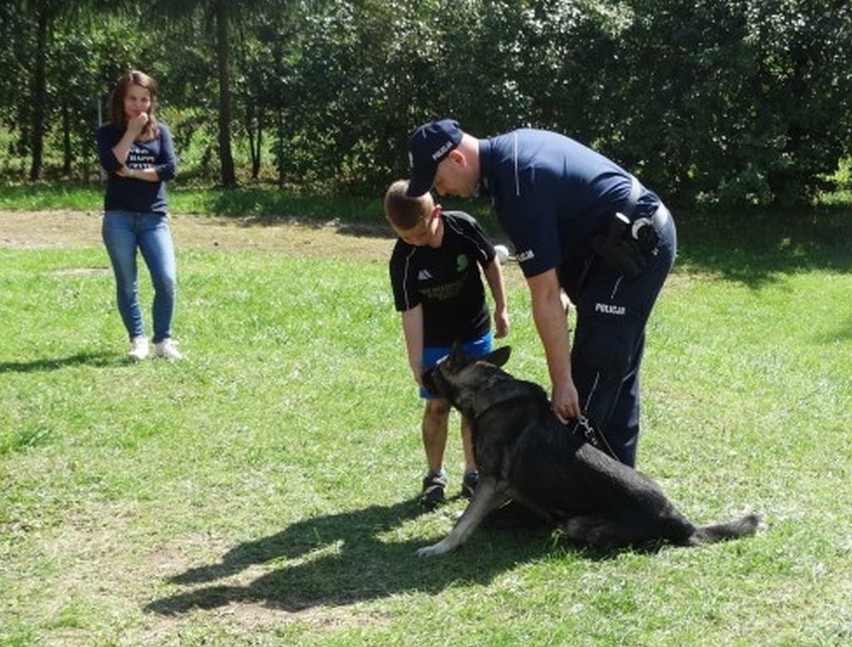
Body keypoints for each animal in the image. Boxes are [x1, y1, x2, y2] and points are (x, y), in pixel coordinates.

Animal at [420, 346, 760, 560]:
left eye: (435, 370)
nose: (420, 371)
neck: (487, 389)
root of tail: (681, 521)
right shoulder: (499, 487)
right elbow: (472, 515)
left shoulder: (492, 481)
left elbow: (465, 521)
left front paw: (441, 547)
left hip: (579, 524)